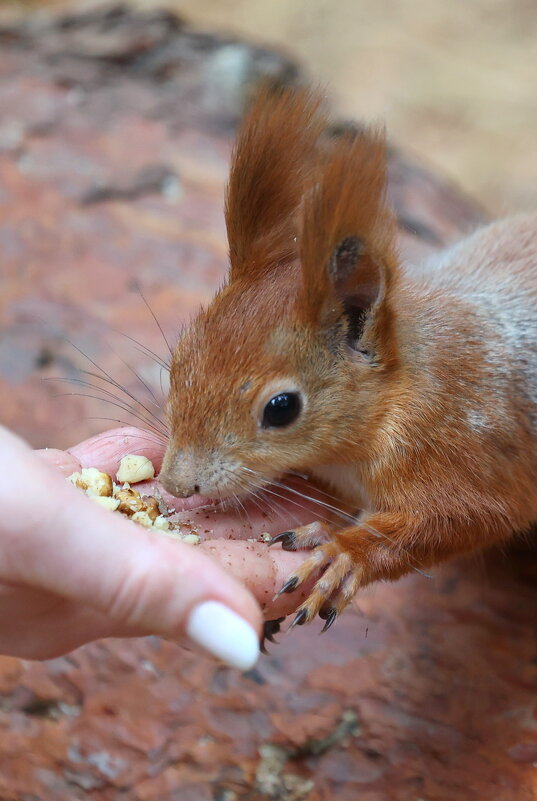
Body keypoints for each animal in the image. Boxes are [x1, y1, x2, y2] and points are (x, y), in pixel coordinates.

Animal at [158, 87, 536, 636]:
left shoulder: (467, 449)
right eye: (179, 360)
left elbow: (467, 519)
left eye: (281, 408)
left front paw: (344, 555)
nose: (176, 483)